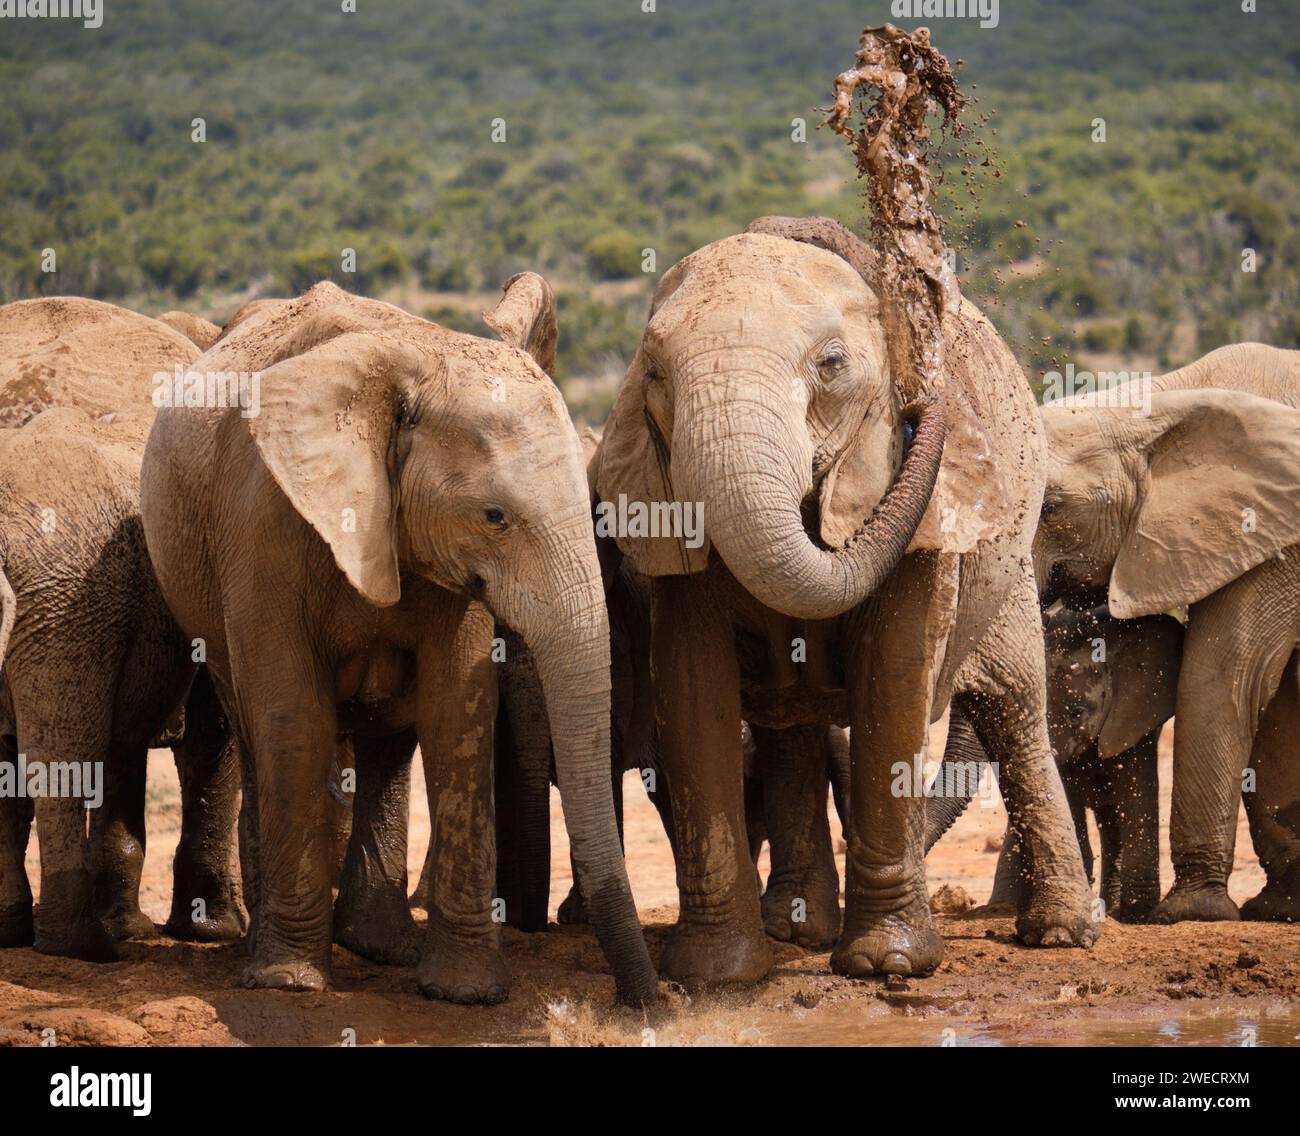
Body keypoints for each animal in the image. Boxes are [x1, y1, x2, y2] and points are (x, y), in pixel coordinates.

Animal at [0, 296, 245, 951]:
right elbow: (212, 732)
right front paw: (211, 932)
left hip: (64, 600)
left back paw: (45, 935)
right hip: (66, 597)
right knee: (63, 749)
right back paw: (81, 944)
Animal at [139, 279, 660, 1003]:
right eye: (494, 517)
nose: (653, 998)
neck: (417, 369)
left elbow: (457, 713)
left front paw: (466, 993)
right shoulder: (263, 524)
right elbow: (294, 716)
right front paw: (289, 984)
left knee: (390, 739)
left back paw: (379, 946)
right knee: (250, 723)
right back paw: (263, 948)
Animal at [595, 217, 1097, 987]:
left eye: (831, 365)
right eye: (652, 373)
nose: (925, 398)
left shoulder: (922, 515)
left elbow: (891, 679)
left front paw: (886, 962)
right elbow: (693, 685)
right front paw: (715, 974)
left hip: (1010, 566)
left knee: (1013, 708)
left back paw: (1061, 935)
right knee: (790, 725)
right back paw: (796, 931)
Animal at [1034, 337, 1300, 920]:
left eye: (1049, 507)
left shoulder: (1272, 534)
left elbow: (1224, 678)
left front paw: (1190, 912)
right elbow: (1276, 704)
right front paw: (1278, 908)